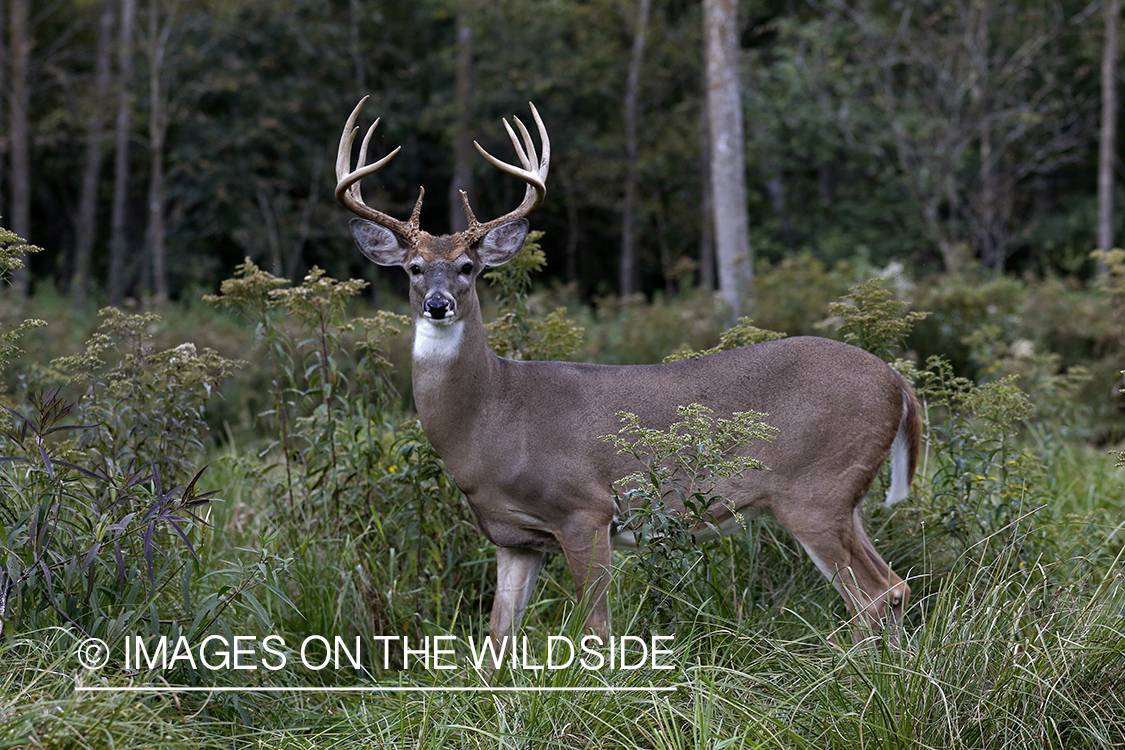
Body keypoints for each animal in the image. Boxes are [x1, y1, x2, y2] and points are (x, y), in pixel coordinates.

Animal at [330, 98, 913, 656]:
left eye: (469, 268)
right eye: (413, 268)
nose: (438, 304)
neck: (490, 419)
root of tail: (899, 384)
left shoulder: (585, 509)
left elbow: (596, 630)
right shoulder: (513, 538)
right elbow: (497, 641)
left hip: (815, 489)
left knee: (873, 597)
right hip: (844, 497)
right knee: (894, 587)